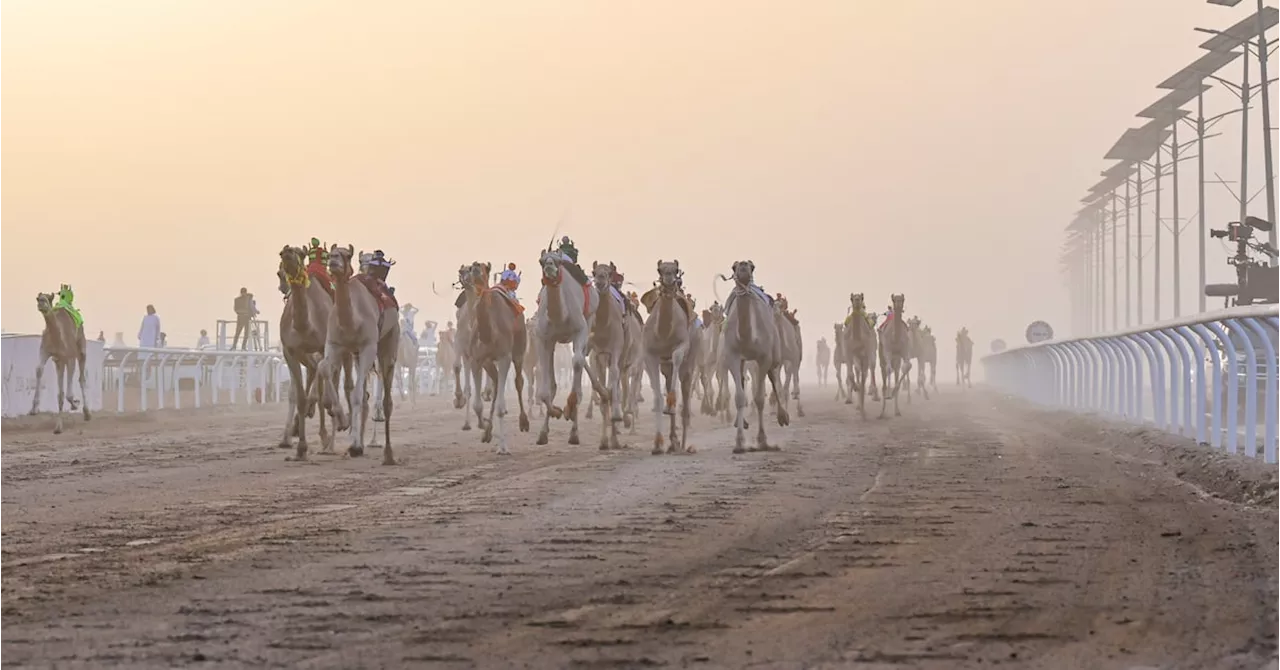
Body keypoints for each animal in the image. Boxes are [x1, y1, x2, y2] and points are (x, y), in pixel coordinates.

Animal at [29, 290, 89, 433]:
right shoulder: (47, 352)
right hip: (59, 362)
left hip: (81, 349)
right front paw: (34, 409)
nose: (41, 302)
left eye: (49, 298)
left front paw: (75, 404)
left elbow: (68, 393)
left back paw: (86, 413)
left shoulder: (70, 357)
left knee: (81, 378)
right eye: (38, 298)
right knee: (61, 391)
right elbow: (39, 370)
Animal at [312, 244, 396, 466]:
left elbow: (357, 396)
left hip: (389, 342)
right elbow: (324, 367)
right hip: (356, 355)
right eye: (333, 252)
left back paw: (387, 453)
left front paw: (356, 446)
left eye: (347, 255)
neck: (351, 321)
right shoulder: (335, 345)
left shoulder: (368, 347)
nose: (333, 259)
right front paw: (340, 417)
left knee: (386, 392)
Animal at [721, 260, 788, 453]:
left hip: (775, 352)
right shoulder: (733, 356)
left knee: (774, 375)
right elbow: (740, 397)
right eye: (734, 266)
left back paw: (783, 416)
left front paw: (763, 441)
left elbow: (759, 398)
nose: (743, 265)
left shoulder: (764, 357)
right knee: (744, 382)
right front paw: (739, 443)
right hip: (744, 361)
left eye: (752, 265)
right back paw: (741, 422)